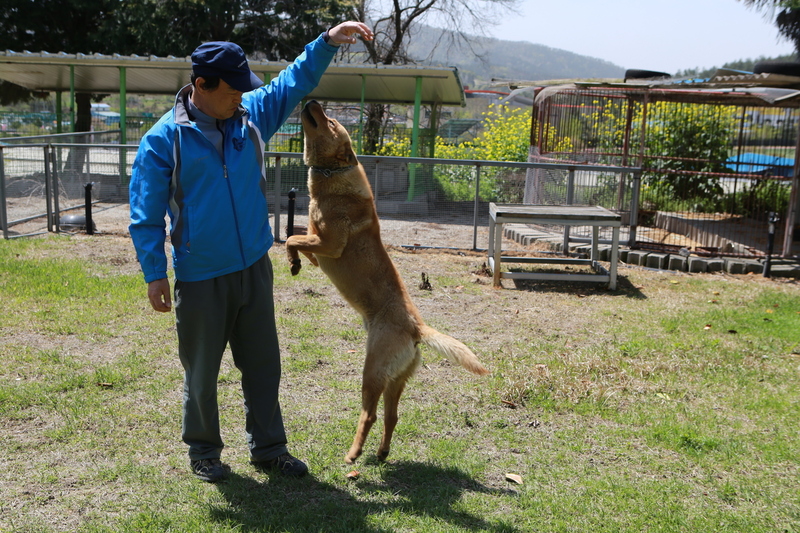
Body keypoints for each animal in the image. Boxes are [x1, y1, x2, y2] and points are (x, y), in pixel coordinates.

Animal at [288, 98, 488, 462]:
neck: (332, 176)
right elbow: (295, 238)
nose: (313, 100)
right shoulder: (316, 240)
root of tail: (417, 328)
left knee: (369, 415)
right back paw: (380, 453)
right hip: (395, 380)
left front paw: (294, 261)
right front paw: (297, 262)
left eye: (331, 121)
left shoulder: (329, 244)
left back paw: (353, 454)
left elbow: (290, 238)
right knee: (392, 416)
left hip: (372, 373)